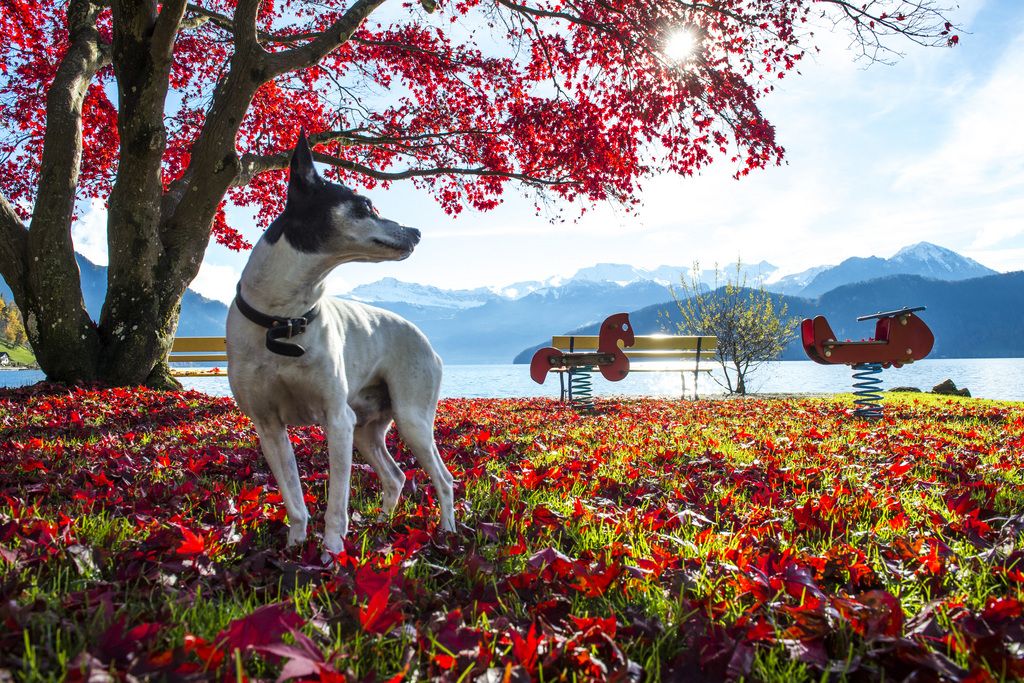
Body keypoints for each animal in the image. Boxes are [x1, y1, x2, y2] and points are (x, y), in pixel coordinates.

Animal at [230, 133, 458, 561]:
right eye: (366, 206)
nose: (417, 231)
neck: (285, 319)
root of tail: (427, 342)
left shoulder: (337, 421)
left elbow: (337, 502)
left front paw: (332, 554)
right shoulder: (269, 428)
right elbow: (294, 499)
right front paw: (295, 546)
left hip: (412, 419)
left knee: (444, 478)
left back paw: (448, 532)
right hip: (368, 430)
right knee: (395, 476)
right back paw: (383, 524)